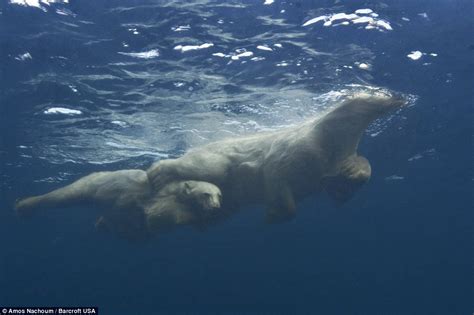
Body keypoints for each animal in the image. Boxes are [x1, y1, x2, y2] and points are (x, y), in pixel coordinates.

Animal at [15, 89, 408, 237]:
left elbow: (344, 174)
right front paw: (273, 215)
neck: (321, 137)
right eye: (376, 94)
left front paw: (351, 177)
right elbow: (277, 178)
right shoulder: (293, 150)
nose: (399, 97)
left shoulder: (329, 155)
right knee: (196, 168)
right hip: (214, 159)